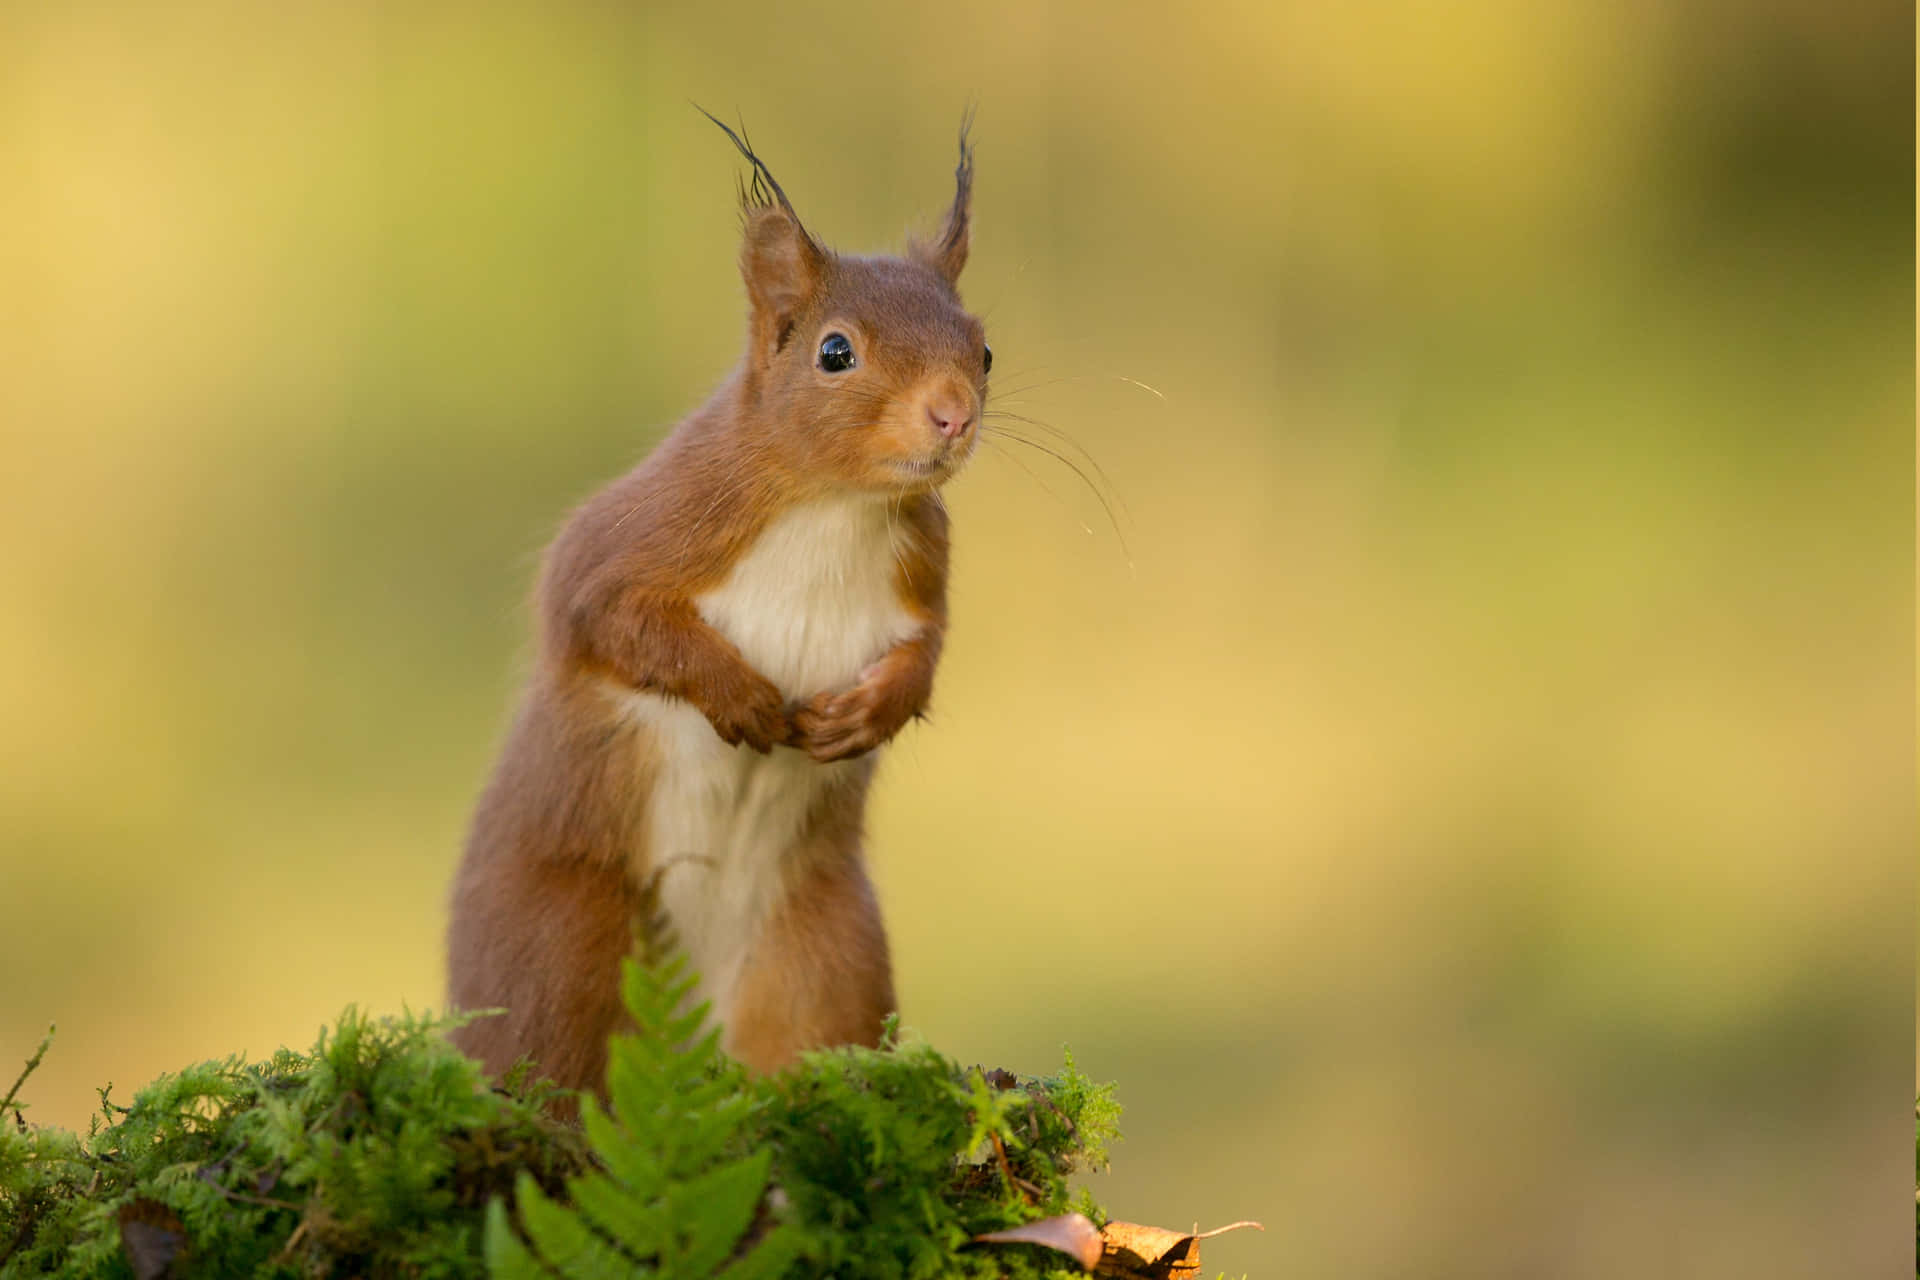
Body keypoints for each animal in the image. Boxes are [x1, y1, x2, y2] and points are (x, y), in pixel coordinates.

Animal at [441, 119, 983, 1097]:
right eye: (835, 352)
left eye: (985, 349)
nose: (954, 414)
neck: (834, 507)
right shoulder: (651, 529)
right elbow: (602, 616)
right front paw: (738, 696)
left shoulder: (926, 569)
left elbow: (926, 655)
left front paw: (868, 714)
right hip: (559, 942)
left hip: (827, 954)